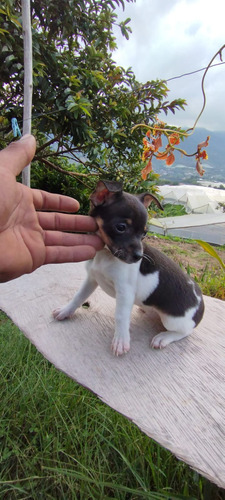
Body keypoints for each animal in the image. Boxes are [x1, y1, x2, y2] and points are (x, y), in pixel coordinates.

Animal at [53, 180, 205, 356]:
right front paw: (66, 311)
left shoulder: (125, 292)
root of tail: (200, 302)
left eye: (144, 233)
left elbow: (120, 315)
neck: (105, 254)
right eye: (121, 227)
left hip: (172, 321)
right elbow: (78, 297)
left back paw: (164, 338)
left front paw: (121, 341)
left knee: (185, 332)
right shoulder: (91, 279)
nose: (139, 256)